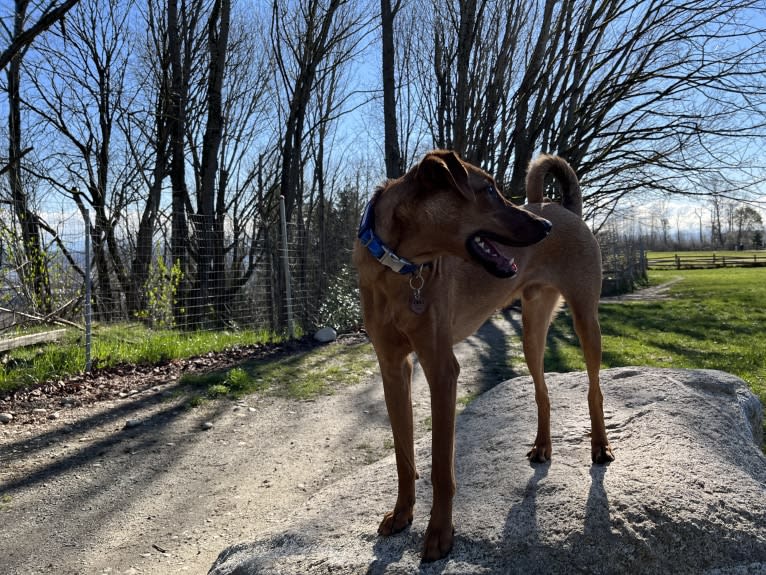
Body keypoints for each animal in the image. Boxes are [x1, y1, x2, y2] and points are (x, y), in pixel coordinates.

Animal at [356, 148, 616, 564]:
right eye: (489, 190)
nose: (544, 226)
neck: (398, 267)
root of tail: (564, 210)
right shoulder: (393, 369)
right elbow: (403, 457)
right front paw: (402, 514)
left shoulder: (442, 369)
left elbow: (441, 468)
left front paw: (439, 534)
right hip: (531, 333)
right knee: (542, 392)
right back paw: (543, 446)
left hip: (585, 319)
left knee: (595, 389)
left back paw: (600, 446)